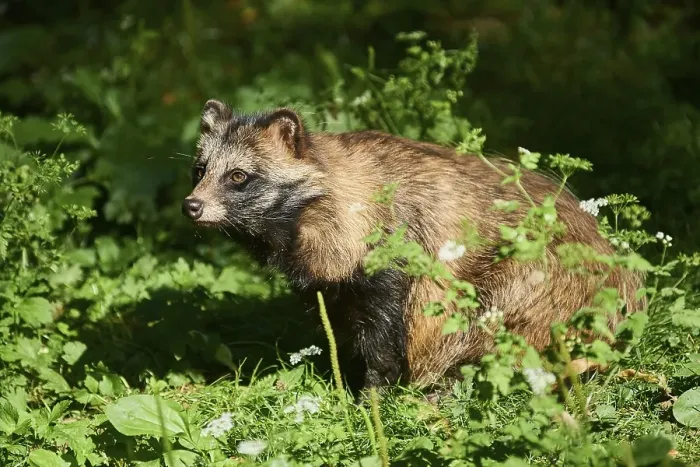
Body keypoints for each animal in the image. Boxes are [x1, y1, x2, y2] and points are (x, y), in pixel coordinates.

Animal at [182, 99, 645, 393]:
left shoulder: (392, 252)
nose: (191, 206)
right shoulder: (330, 280)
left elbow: (387, 333)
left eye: (239, 176)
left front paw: (371, 395)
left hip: (543, 286)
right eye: (200, 170)